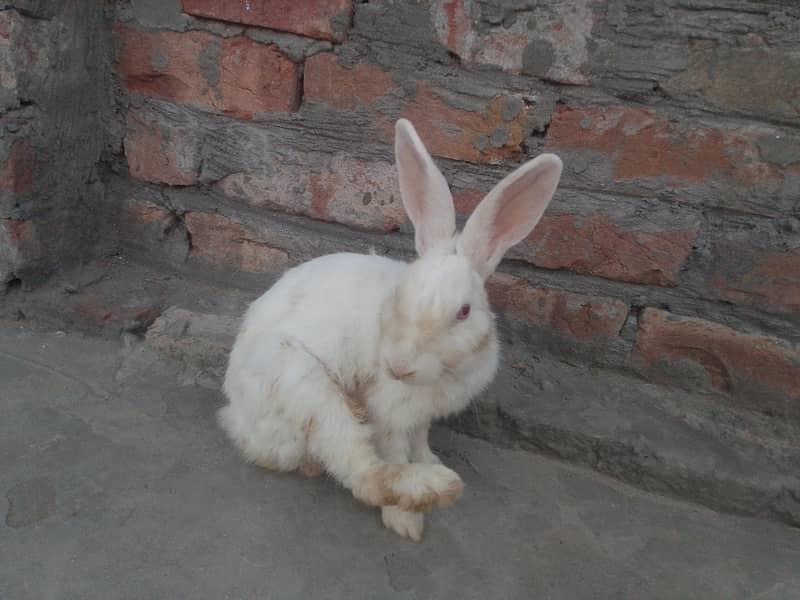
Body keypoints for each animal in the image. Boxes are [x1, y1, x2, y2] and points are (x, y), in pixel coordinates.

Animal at [219, 118, 563, 541]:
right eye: (402, 293)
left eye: (464, 312)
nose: (398, 367)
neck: (441, 374)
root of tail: (237, 421)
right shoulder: (390, 411)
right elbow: (395, 450)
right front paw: (404, 516)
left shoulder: (422, 416)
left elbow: (420, 440)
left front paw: (429, 458)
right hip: (306, 387)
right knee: (364, 473)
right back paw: (435, 490)